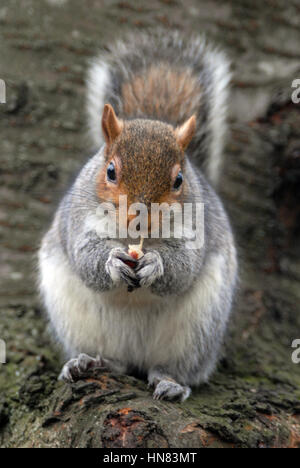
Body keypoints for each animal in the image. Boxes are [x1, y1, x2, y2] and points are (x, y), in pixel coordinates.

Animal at [38, 31, 238, 400]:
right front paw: (112, 261)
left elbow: (183, 268)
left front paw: (156, 264)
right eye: (110, 171)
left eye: (179, 180)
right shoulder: (79, 223)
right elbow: (85, 256)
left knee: (169, 367)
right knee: (115, 361)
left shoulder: (196, 230)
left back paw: (169, 382)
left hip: (197, 332)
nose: (140, 217)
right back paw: (88, 362)